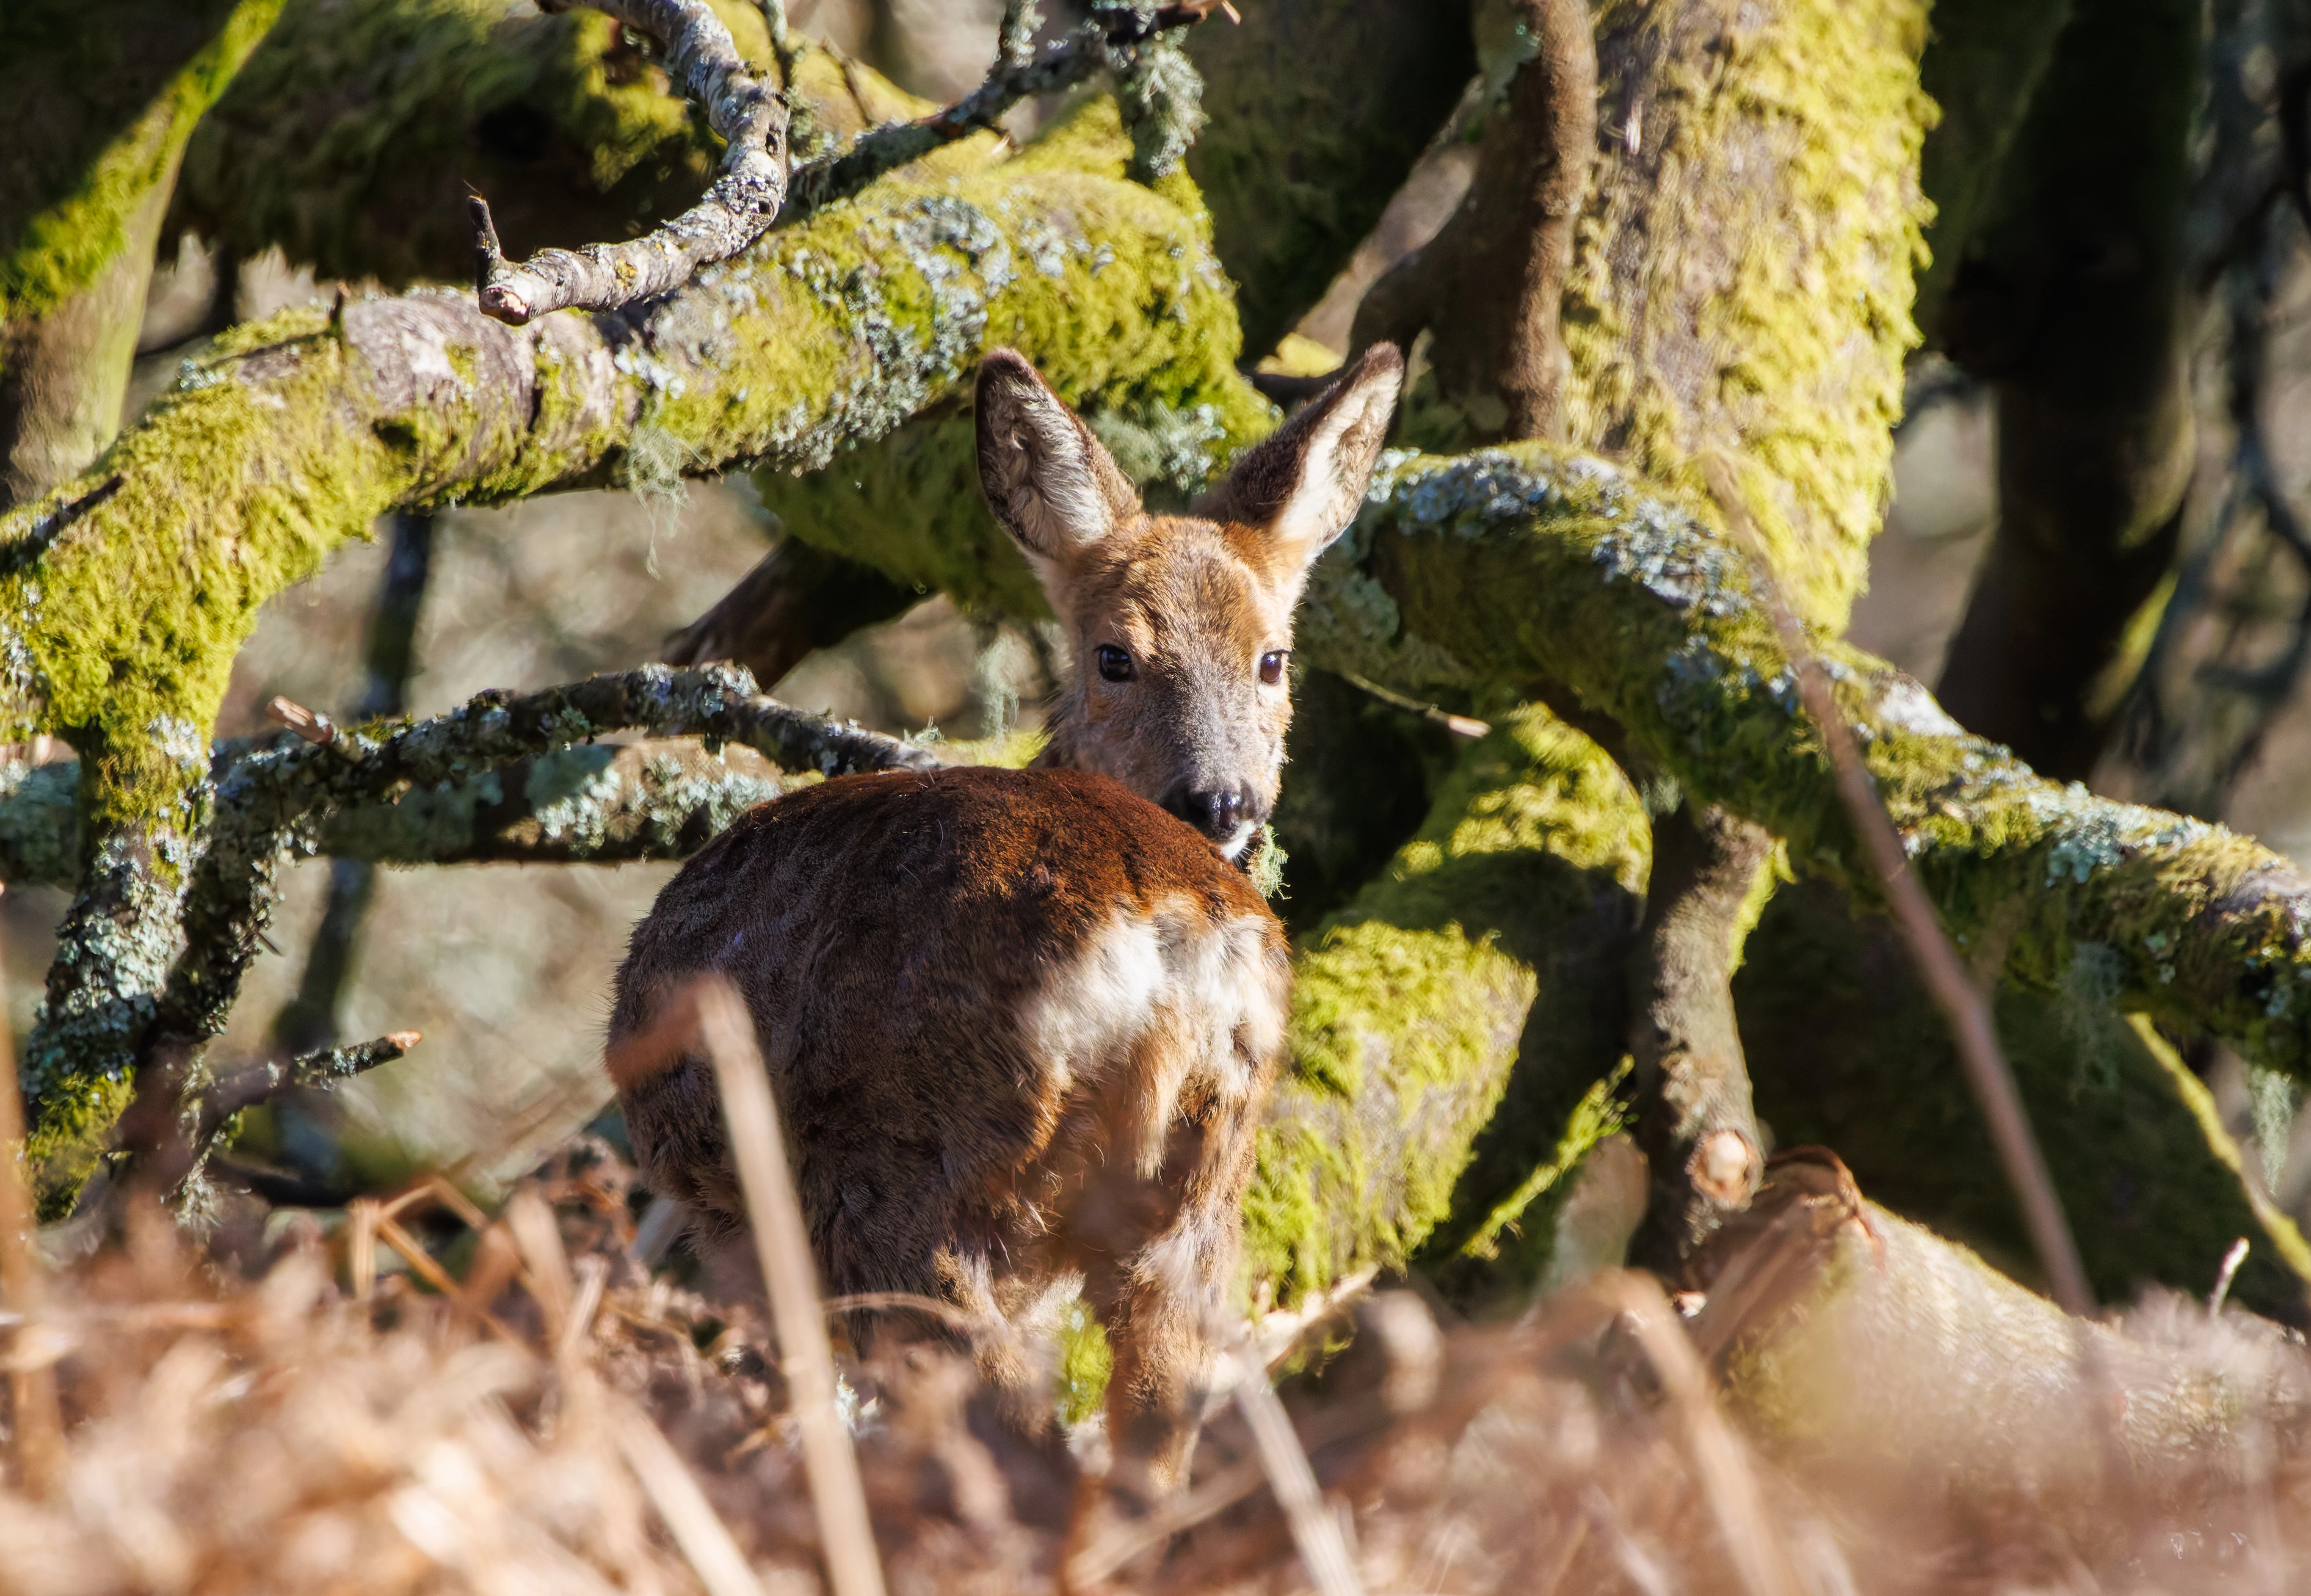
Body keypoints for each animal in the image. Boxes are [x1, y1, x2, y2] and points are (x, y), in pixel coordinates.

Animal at [605, 342, 1402, 1501]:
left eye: (1271, 659)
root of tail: (1161, 939)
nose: (1223, 800)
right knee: (1150, 1438)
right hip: (1201, 1196)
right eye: (1114, 655)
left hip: (900, 1187)